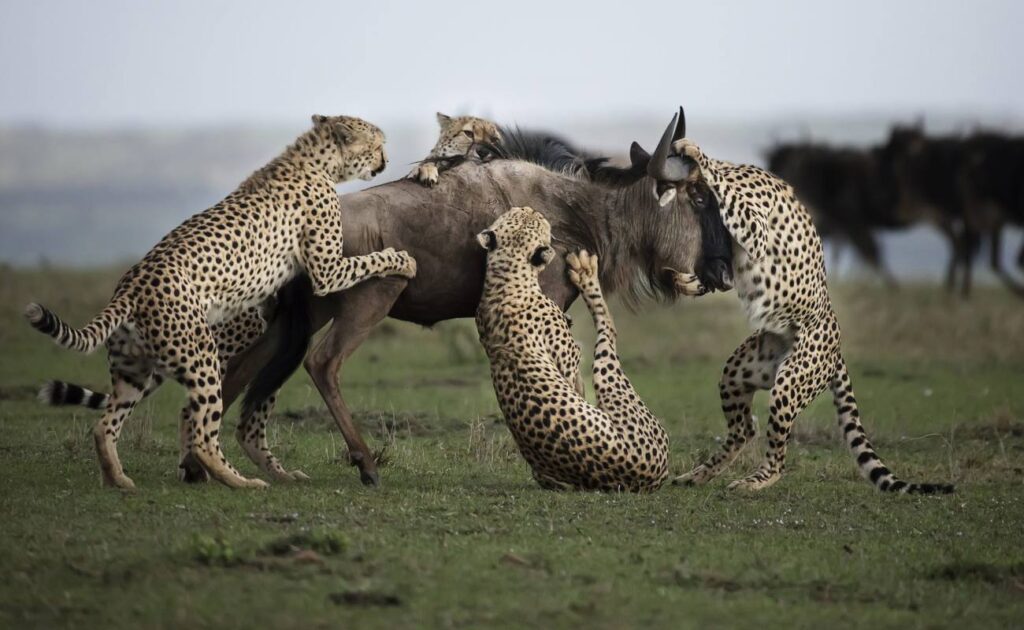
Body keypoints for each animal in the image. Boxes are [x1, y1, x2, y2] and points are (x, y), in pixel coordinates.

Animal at [473, 206, 667, 493]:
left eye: (517, 213)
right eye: (537, 220)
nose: (530, 207)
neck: (506, 273)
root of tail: (652, 477)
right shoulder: (569, 358)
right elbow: (575, 379)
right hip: (612, 380)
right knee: (608, 330)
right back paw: (586, 272)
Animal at [643, 111, 954, 495]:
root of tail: (837, 347)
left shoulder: (754, 229)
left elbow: (724, 191)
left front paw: (695, 151)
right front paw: (686, 281)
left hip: (790, 382)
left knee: (777, 453)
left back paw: (755, 481)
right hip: (739, 372)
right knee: (745, 428)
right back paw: (698, 474)